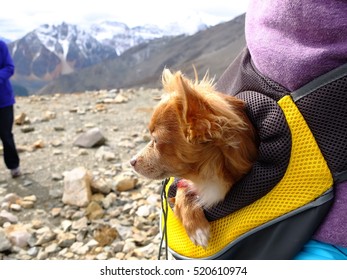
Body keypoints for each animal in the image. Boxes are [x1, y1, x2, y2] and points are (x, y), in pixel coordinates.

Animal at [130, 68, 258, 247]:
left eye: (155, 140)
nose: (131, 161)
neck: (207, 179)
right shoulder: (184, 184)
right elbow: (182, 192)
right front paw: (195, 227)